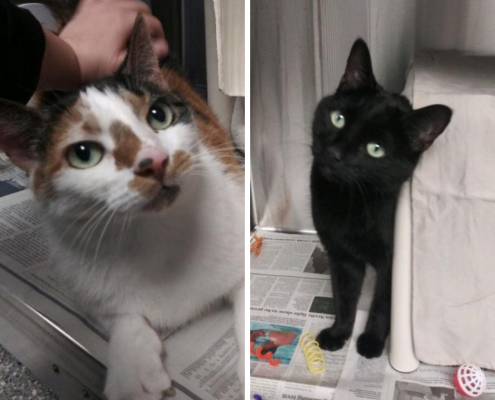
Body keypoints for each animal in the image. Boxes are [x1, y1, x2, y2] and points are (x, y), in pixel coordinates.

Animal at [0, 14, 244, 398]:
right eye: (83, 154)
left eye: (159, 115)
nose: (155, 161)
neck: (156, 233)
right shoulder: (90, 290)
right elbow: (124, 318)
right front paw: (133, 371)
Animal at [314, 39, 454, 360]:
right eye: (338, 118)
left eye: (375, 149)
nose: (334, 153)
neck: (351, 202)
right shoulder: (340, 256)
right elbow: (344, 298)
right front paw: (339, 334)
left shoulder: (391, 264)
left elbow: (382, 305)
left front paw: (371, 342)